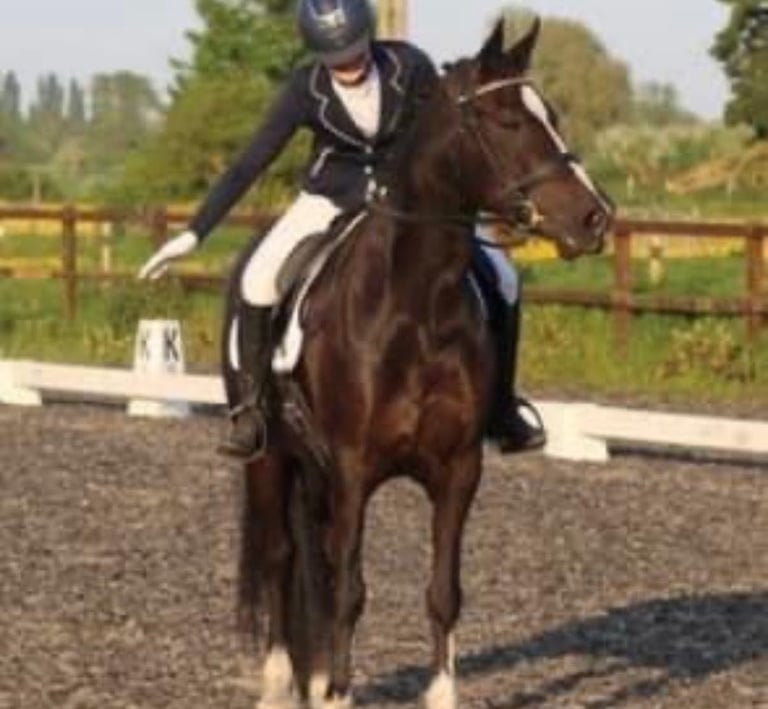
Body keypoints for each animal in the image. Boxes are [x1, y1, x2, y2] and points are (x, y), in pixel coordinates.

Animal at [225, 18, 613, 709]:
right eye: (507, 122)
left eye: (553, 115)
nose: (595, 218)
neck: (415, 305)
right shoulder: (353, 470)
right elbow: (351, 590)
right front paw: (338, 693)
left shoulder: (457, 471)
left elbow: (442, 593)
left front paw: (434, 694)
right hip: (269, 460)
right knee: (280, 557)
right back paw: (280, 683)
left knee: (314, 565)